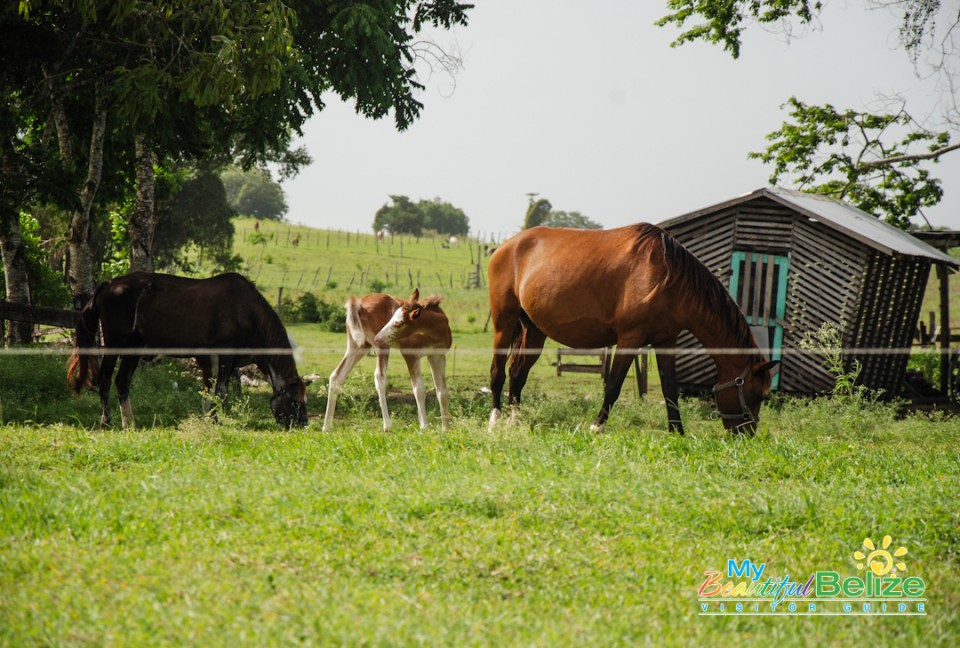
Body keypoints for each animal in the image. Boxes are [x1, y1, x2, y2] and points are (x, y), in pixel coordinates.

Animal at [67, 270, 308, 428]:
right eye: (295, 402)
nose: (303, 424)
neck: (247, 312)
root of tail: (108, 284)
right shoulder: (224, 356)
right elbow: (221, 392)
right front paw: (215, 421)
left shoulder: (210, 361)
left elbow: (207, 391)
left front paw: (207, 419)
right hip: (116, 343)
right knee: (105, 380)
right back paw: (107, 422)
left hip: (133, 349)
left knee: (122, 382)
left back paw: (129, 423)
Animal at [322, 288, 454, 430]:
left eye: (397, 323)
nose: (378, 338)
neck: (435, 331)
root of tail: (359, 303)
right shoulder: (410, 355)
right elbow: (419, 390)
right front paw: (424, 426)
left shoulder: (437, 356)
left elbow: (442, 392)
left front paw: (445, 428)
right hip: (381, 347)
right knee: (379, 377)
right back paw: (388, 425)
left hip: (359, 346)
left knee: (336, 376)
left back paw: (326, 426)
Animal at [488, 224, 780, 436]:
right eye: (757, 394)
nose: (745, 435)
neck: (668, 275)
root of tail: (504, 246)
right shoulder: (630, 338)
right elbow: (614, 385)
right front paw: (596, 426)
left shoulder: (666, 342)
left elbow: (669, 390)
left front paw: (677, 433)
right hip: (504, 322)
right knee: (498, 373)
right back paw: (494, 420)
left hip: (535, 330)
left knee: (517, 374)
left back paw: (514, 421)